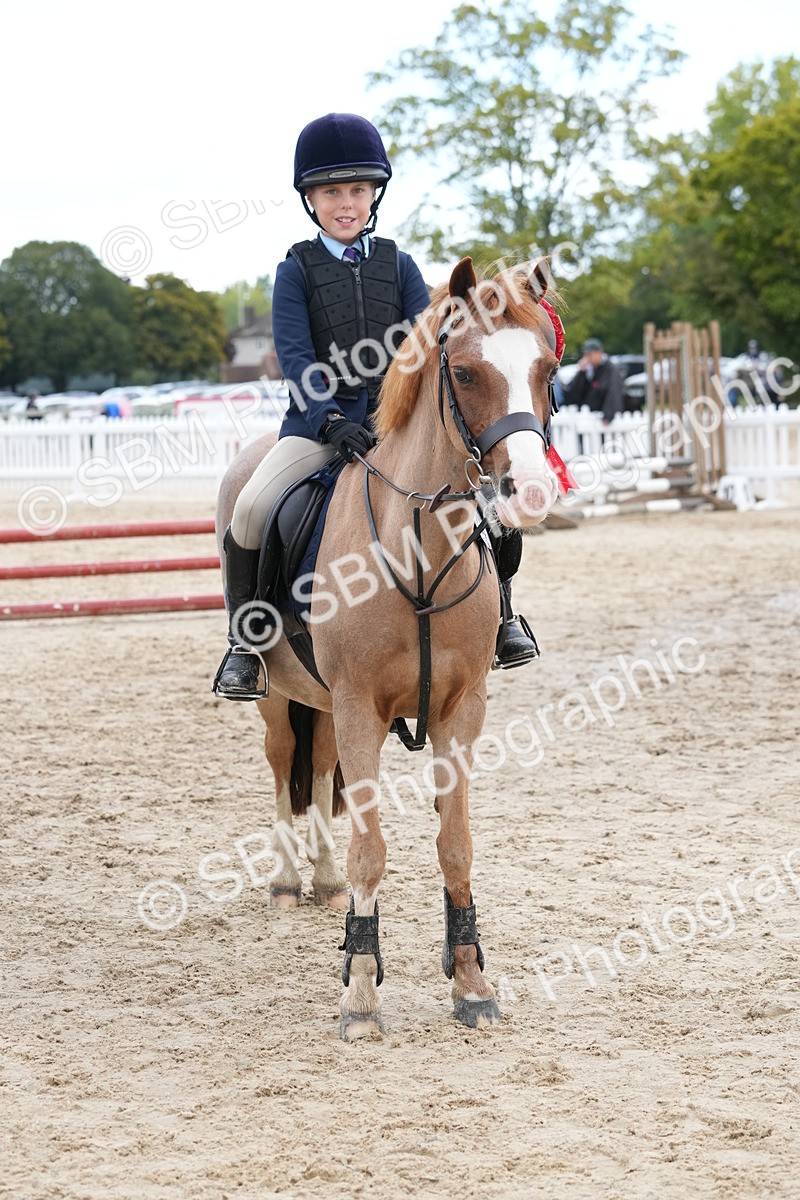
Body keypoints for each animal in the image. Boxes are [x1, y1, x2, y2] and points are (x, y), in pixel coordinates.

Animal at [215, 257, 562, 1039]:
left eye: (548, 368)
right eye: (464, 373)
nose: (529, 492)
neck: (421, 552)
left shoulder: (461, 711)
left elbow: (455, 846)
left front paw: (470, 983)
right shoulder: (358, 706)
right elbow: (371, 851)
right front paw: (361, 993)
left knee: (318, 767)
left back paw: (321, 879)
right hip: (280, 696)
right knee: (284, 762)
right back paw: (287, 880)